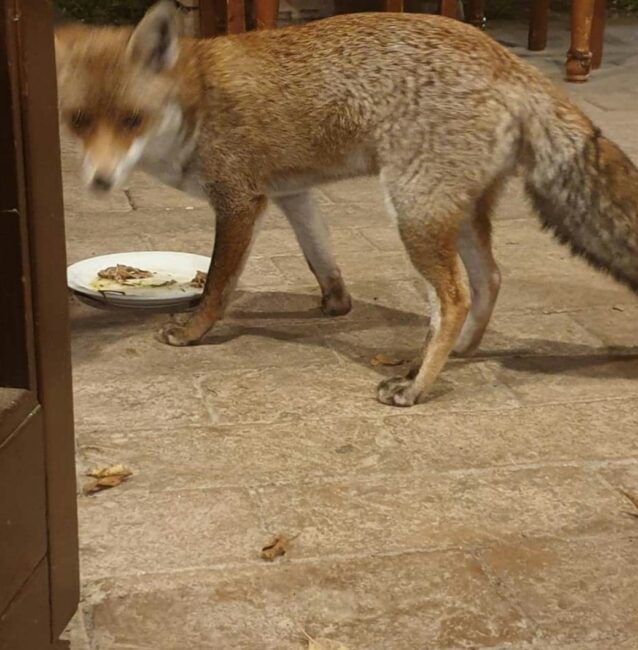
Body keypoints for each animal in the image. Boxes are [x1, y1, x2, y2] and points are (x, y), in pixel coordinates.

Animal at [55, 1, 638, 407]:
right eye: (79, 121)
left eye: (132, 120)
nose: (101, 182)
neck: (197, 99)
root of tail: (509, 60)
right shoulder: (292, 194)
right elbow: (323, 260)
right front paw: (335, 305)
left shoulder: (240, 200)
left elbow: (219, 284)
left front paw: (193, 331)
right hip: (457, 212)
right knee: (489, 280)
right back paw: (456, 354)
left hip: (414, 211)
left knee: (454, 298)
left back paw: (417, 387)